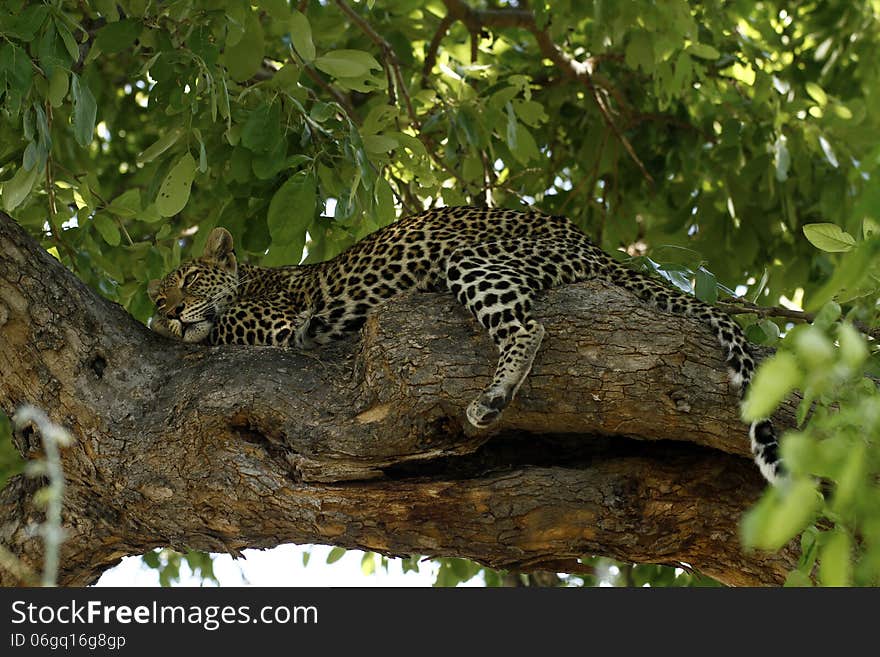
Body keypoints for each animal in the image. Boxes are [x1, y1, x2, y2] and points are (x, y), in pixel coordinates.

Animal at [150, 208, 784, 484]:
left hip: (471, 258)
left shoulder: (278, 320)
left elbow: (225, 324)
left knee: (529, 328)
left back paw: (493, 398)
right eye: (158, 296)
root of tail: (591, 243)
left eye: (189, 281)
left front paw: (190, 326)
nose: (169, 311)